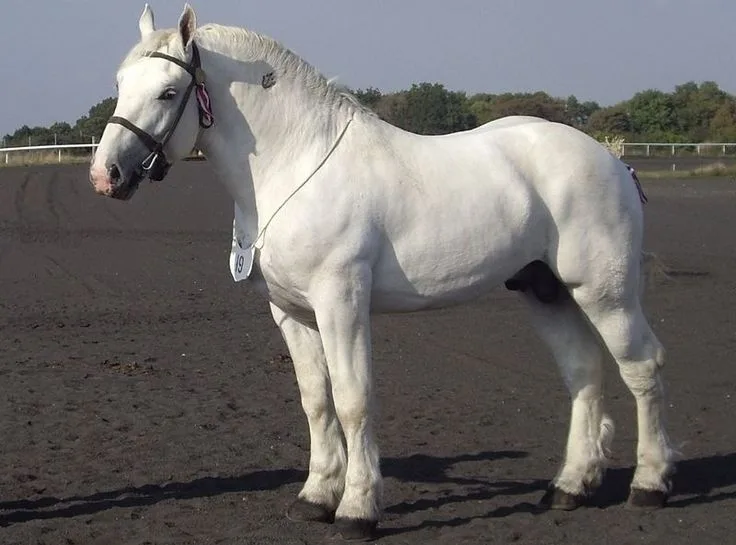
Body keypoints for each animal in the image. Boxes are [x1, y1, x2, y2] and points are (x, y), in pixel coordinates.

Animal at [89, 4, 675, 540]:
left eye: (169, 93)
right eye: (119, 84)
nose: (105, 175)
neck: (294, 164)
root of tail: (612, 160)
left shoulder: (341, 303)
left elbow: (353, 400)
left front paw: (357, 509)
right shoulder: (291, 313)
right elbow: (316, 401)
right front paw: (315, 497)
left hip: (605, 293)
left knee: (642, 368)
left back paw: (649, 485)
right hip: (545, 291)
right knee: (584, 372)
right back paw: (570, 487)